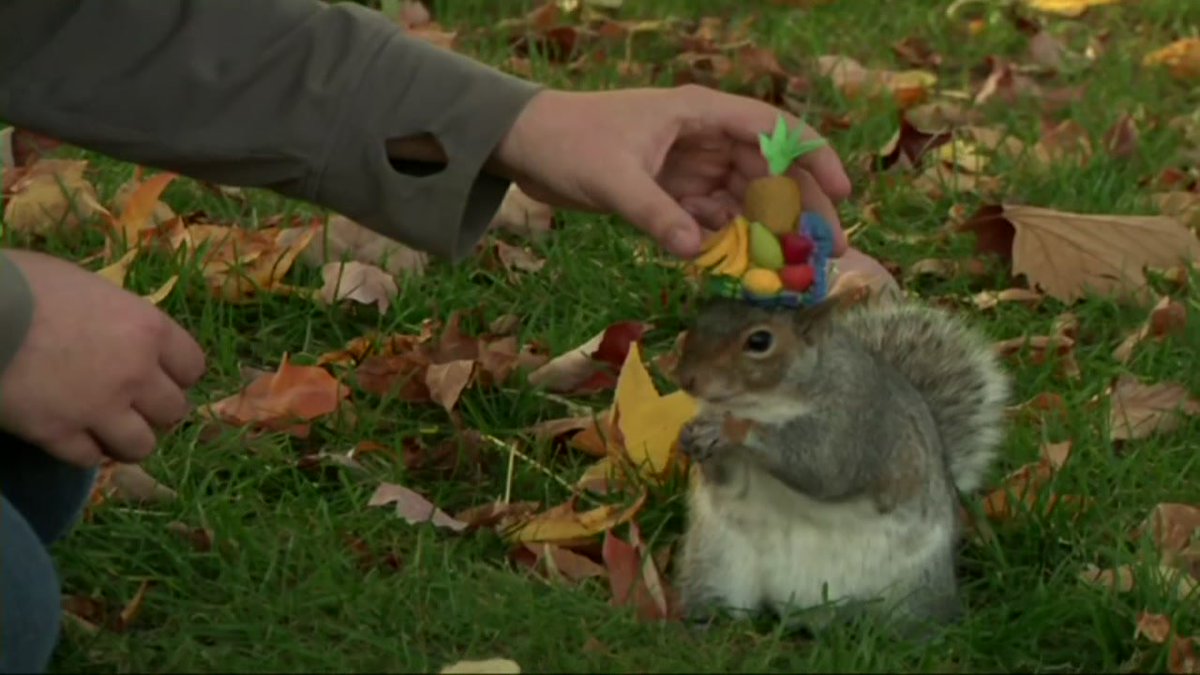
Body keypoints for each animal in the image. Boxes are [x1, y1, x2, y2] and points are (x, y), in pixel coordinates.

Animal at [672, 293, 1011, 636]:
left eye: (759, 341)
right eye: (702, 318)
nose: (687, 379)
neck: (765, 402)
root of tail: (811, 613)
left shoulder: (855, 422)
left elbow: (823, 466)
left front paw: (731, 428)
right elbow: (727, 481)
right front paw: (691, 436)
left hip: (915, 588)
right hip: (715, 564)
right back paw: (704, 625)